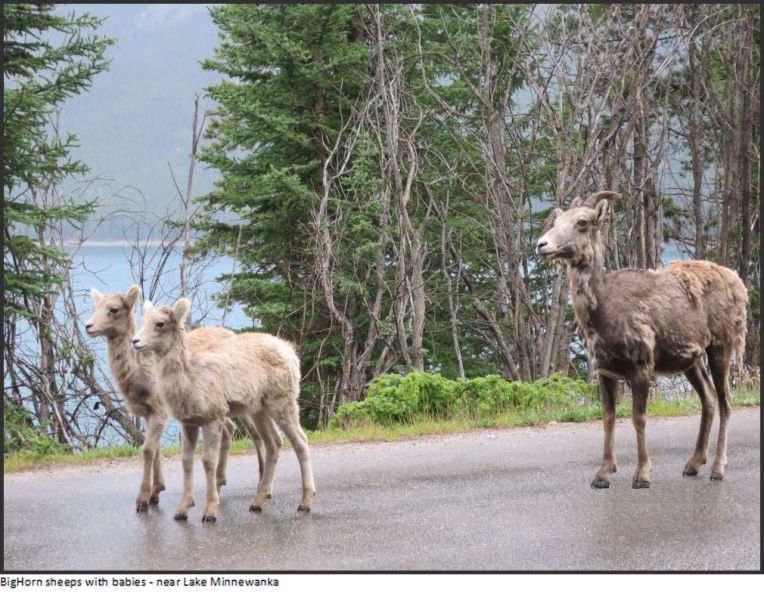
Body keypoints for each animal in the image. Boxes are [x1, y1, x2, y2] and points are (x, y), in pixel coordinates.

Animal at [85, 285, 270, 511]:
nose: (88, 326)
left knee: (253, 432)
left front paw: (144, 498)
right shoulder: (147, 411)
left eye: (113, 309)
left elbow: (148, 450)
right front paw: (156, 492)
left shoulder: (160, 408)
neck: (138, 376)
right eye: (94, 307)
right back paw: (220, 482)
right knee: (230, 428)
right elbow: (155, 449)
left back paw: (260, 483)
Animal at [132, 297, 315, 522]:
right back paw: (257, 502)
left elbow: (208, 461)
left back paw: (305, 502)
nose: (135, 341)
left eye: (160, 323)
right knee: (273, 443)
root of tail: (291, 352)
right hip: (259, 409)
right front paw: (181, 510)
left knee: (300, 441)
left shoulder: (213, 416)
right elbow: (187, 461)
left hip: (282, 402)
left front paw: (210, 511)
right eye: (142, 320)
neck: (189, 382)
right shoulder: (188, 422)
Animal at [536, 191, 748, 488]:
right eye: (557, 220)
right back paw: (694, 463)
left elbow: (639, 418)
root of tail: (739, 285)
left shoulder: (641, 364)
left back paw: (717, 468)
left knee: (727, 401)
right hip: (691, 359)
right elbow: (608, 417)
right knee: (708, 399)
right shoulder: (604, 370)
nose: (542, 245)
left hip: (722, 345)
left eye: (582, 222)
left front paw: (643, 474)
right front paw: (603, 473)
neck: (599, 316)